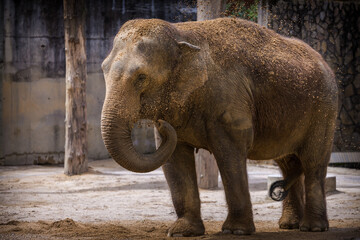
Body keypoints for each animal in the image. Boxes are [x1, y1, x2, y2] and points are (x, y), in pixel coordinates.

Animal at [100, 17, 338, 237]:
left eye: (141, 77)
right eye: (103, 69)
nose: (160, 123)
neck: (182, 33)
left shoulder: (230, 101)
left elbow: (229, 154)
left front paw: (236, 231)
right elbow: (175, 159)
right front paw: (182, 232)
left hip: (324, 110)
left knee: (313, 162)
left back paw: (313, 228)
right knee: (288, 162)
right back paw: (289, 225)